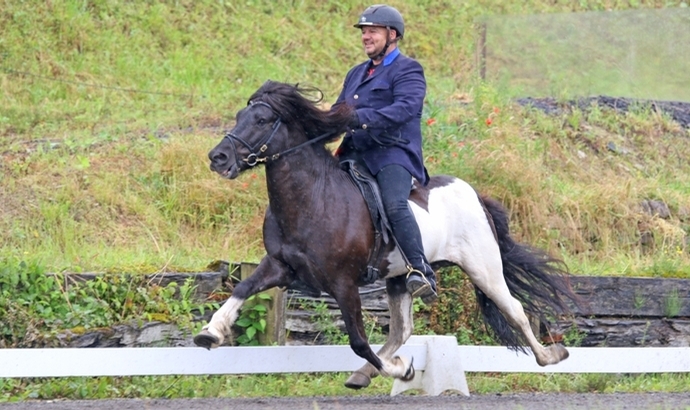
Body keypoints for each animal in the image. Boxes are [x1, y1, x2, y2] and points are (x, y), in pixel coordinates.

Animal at [195, 79, 580, 388]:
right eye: (238, 118)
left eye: (261, 121)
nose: (217, 157)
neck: (314, 198)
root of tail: (474, 193)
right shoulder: (280, 266)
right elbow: (243, 288)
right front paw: (210, 332)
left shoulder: (343, 283)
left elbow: (357, 340)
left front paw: (402, 371)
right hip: (399, 278)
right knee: (402, 329)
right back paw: (364, 373)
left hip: (483, 267)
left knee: (514, 309)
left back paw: (551, 356)